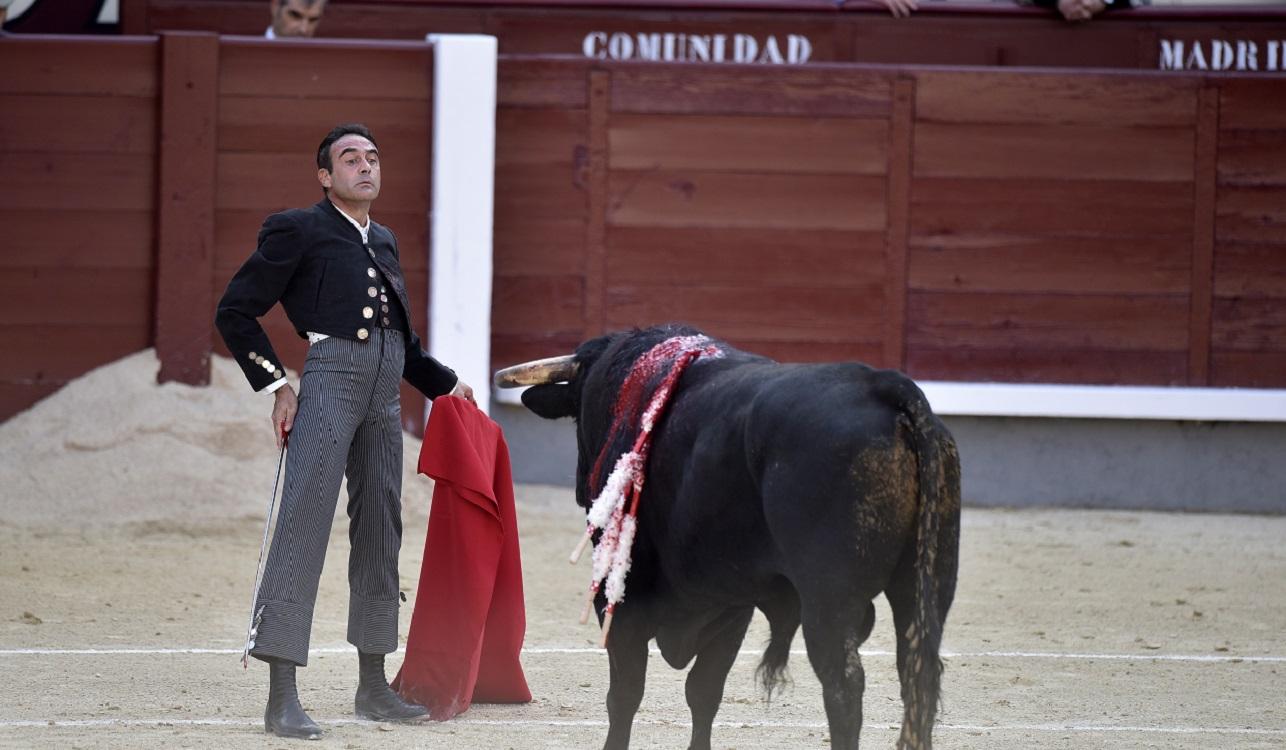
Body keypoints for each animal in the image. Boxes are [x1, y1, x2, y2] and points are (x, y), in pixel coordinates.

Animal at [496, 326, 961, 750]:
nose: (580, 486)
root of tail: (882, 387)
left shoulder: (624, 601)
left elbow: (626, 695)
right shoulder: (732, 606)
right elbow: (703, 693)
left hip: (830, 599)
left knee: (845, 686)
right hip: (927, 585)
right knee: (917, 673)